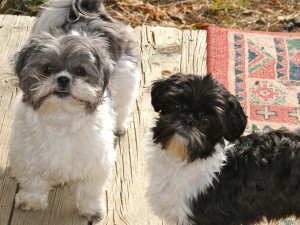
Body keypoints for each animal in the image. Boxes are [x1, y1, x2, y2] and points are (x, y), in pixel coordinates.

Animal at [9, 0, 141, 221]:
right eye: (47, 69)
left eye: (80, 71)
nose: (63, 78)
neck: (61, 116)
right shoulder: (30, 156)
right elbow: (33, 181)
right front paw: (31, 201)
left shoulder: (96, 160)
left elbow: (90, 189)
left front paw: (91, 209)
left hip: (127, 76)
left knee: (123, 104)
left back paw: (119, 125)